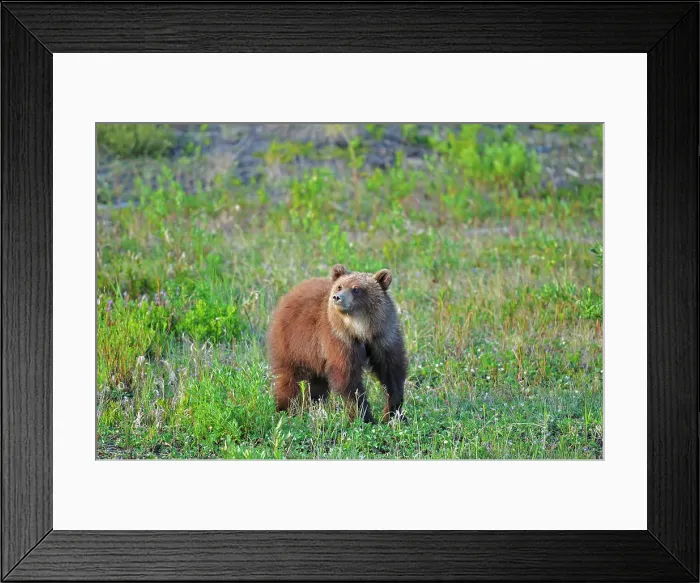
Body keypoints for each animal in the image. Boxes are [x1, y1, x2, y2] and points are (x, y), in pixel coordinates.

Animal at [266, 264, 407, 423]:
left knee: (316, 383)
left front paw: (393, 413)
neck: (361, 329)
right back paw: (286, 409)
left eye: (356, 288)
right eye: (340, 286)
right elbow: (347, 377)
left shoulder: (383, 336)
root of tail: (290, 293)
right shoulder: (339, 339)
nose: (337, 297)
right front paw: (364, 416)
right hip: (293, 343)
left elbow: (391, 370)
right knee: (290, 378)